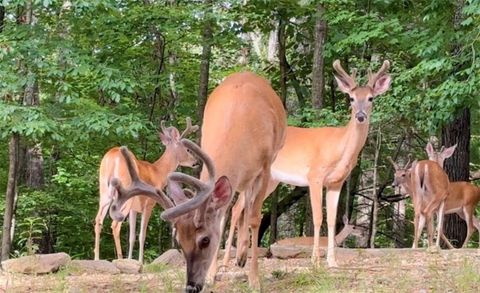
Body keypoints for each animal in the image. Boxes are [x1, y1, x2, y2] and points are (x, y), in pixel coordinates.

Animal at [94, 117, 199, 262]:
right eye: (188, 150)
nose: (195, 162)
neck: (158, 172)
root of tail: (113, 157)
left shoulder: (134, 209)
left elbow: (132, 237)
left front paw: (130, 260)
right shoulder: (149, 203)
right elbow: (142, 235)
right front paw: (140, 261)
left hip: (104, 191)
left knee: (98, 220)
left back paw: (97, 258)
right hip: (124, 193)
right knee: (115, 225)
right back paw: (119, 258)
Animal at [110, 71, 286, 292]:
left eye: (205, 240)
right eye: (179, 240)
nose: (191, 286)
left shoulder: (265, 166)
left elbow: (255, 219)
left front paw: (255, 280)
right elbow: (223, 218)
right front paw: (211, 276)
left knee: (248, 207)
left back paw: (243, 258)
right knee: (239, 204)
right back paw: (239, 257)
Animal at [223, 59, 392, 266]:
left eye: (371, 98)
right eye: (351, 98)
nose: (360, 116)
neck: (339, 148)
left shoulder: (336, 182)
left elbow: (332, 220)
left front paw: (332, 262)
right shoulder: (315, 175)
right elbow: (318, 217)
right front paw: (315, 260)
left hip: (271, 180)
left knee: (244, 208)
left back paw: (240, 258)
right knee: (236, 208)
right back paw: (225, 260)